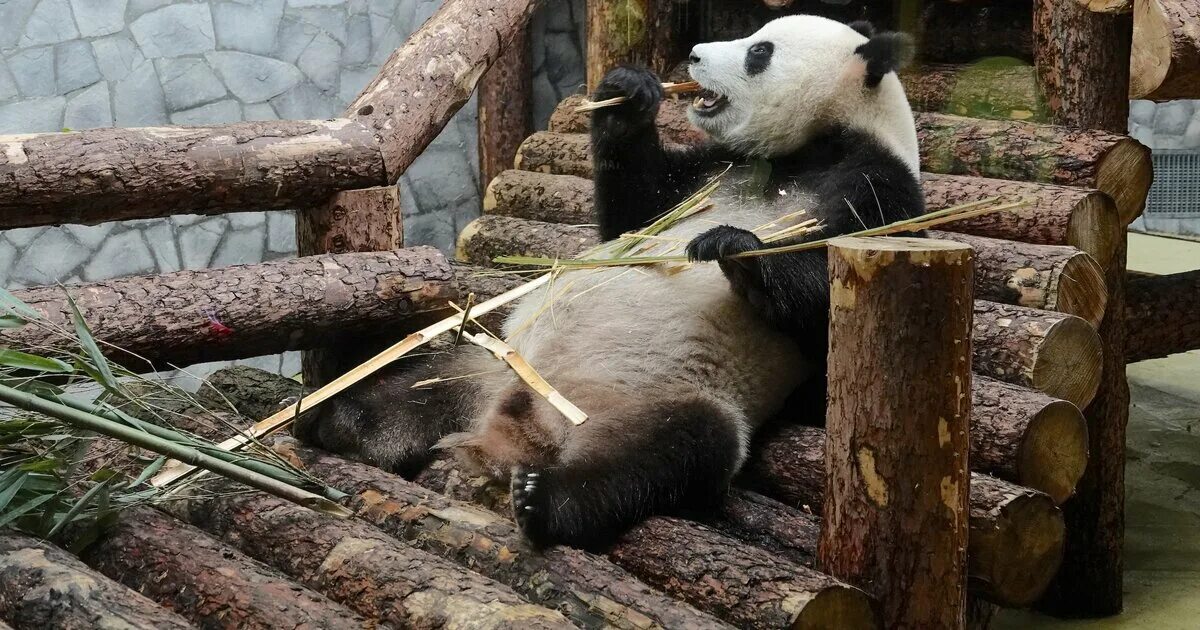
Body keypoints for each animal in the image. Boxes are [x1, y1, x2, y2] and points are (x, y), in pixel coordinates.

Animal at [297, 14, 926, 549]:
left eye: (759, 52)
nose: (694, 55)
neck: (810, 148)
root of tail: (521, 434)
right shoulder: (713, 169)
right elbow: (635, 214)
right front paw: (629, 93)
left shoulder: (877, 186)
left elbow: (827, 310)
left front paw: (732, 246)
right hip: (492, 364)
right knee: (418, 388)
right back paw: (341, 420)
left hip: (662, 398)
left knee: (667, 454)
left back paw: (544, 501)